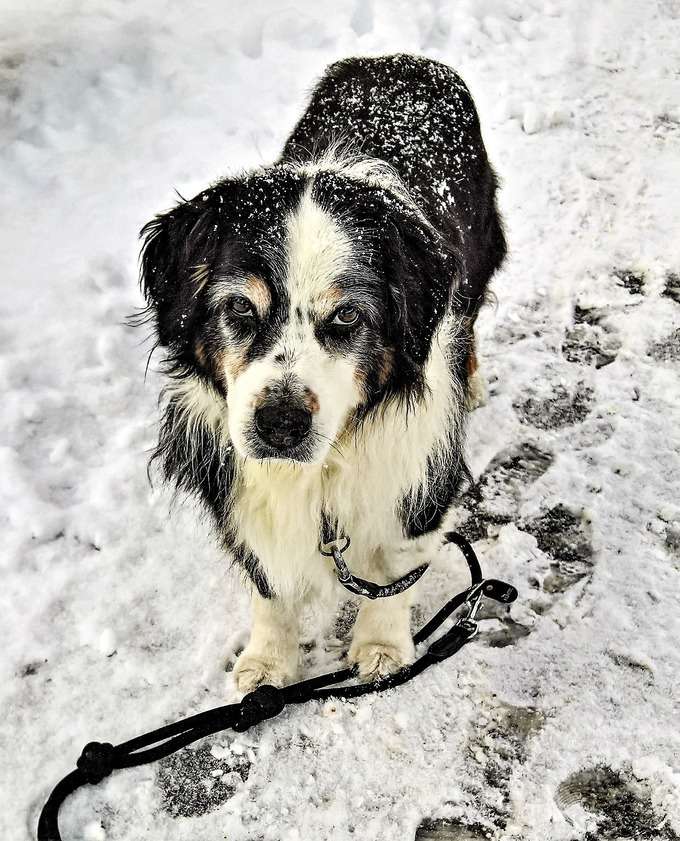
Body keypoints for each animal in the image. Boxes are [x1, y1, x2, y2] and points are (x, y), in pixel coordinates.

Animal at [138, 55, 504, 692]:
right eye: (240, 308)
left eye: (349, 315)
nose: (280, 424)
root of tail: (403, 57)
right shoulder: (238, 476)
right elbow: (266, 583)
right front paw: (268, 662)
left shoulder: (419, 467)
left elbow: (393, 569)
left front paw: (381, 647)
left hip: (479, 254)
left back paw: (473, 381)